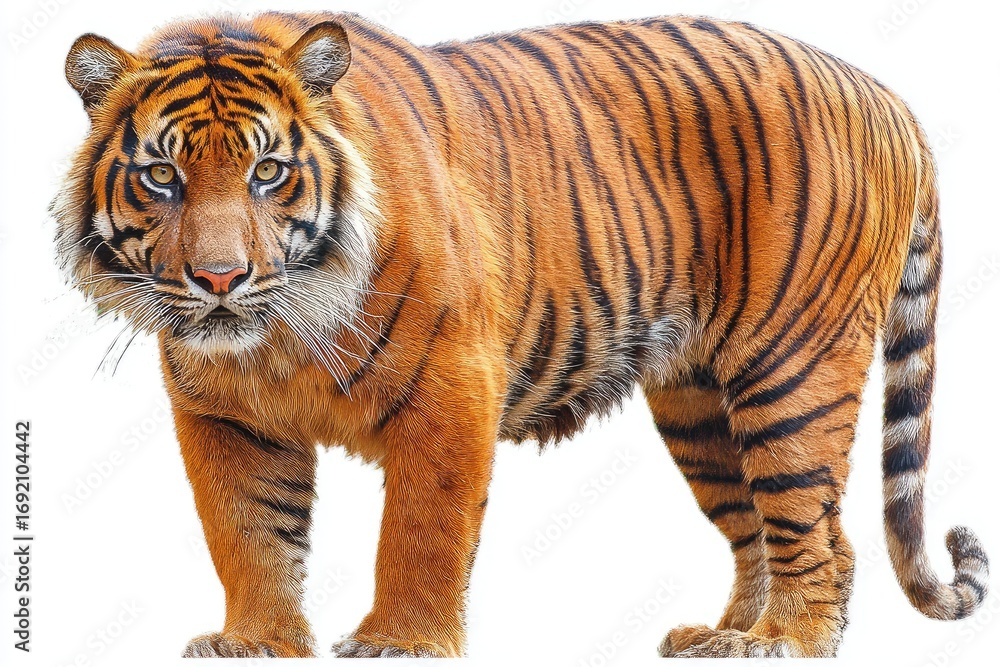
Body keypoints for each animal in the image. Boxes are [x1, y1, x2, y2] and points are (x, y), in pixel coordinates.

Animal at [52, 9, 988, 659]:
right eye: (161, 176)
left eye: (267, 170)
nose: (219, 279)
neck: (279, 335)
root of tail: (886, 96)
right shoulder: (224, 418)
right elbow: (247, 533)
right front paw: (258, 641)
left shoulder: (452, 386)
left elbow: (421, 530)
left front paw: (400, 640)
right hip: (700, 404)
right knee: (764, 525)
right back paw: (725, 636)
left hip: (790, 369)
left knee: (820, 531)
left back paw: (784, 641)